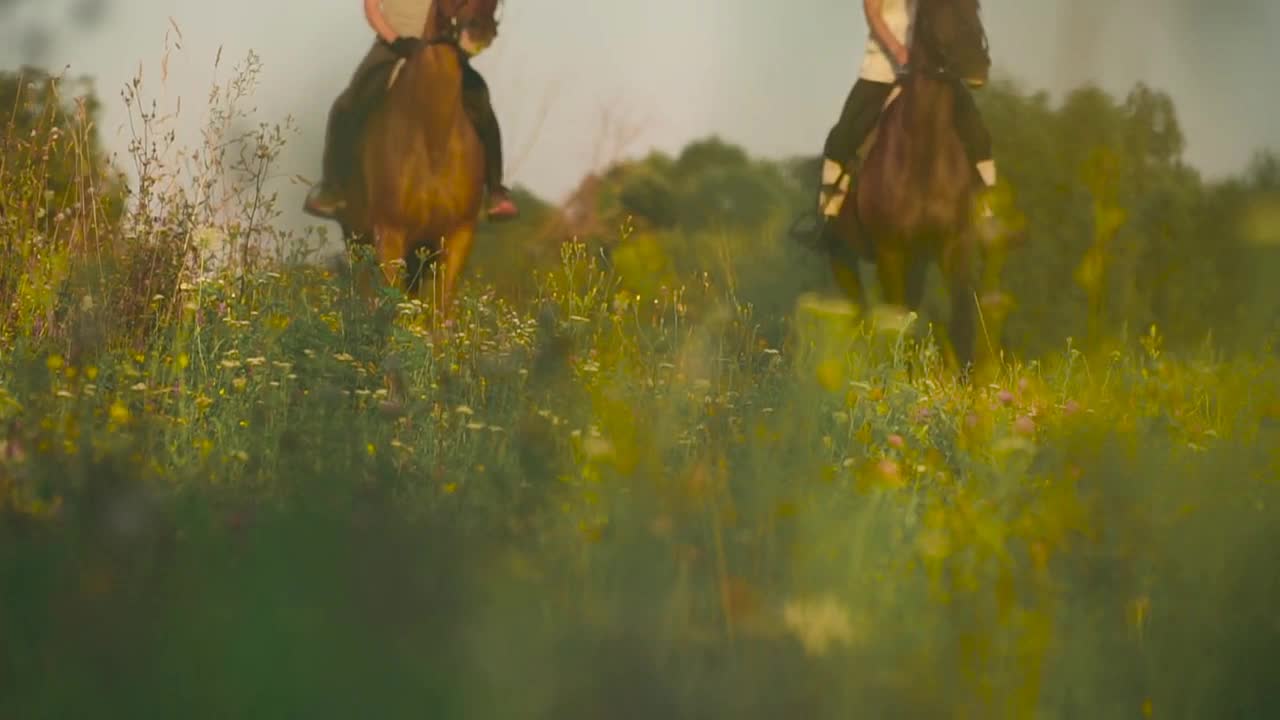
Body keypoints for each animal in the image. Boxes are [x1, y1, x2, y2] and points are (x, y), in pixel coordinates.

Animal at [824, 0, 993, 368]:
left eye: (977, 7)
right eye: (936, 11)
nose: (977, 63)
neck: (923, 154)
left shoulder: (953, 244)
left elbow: (960, 322)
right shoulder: (891, 251)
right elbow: (898, 322)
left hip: (917, 258)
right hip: (846, 259)